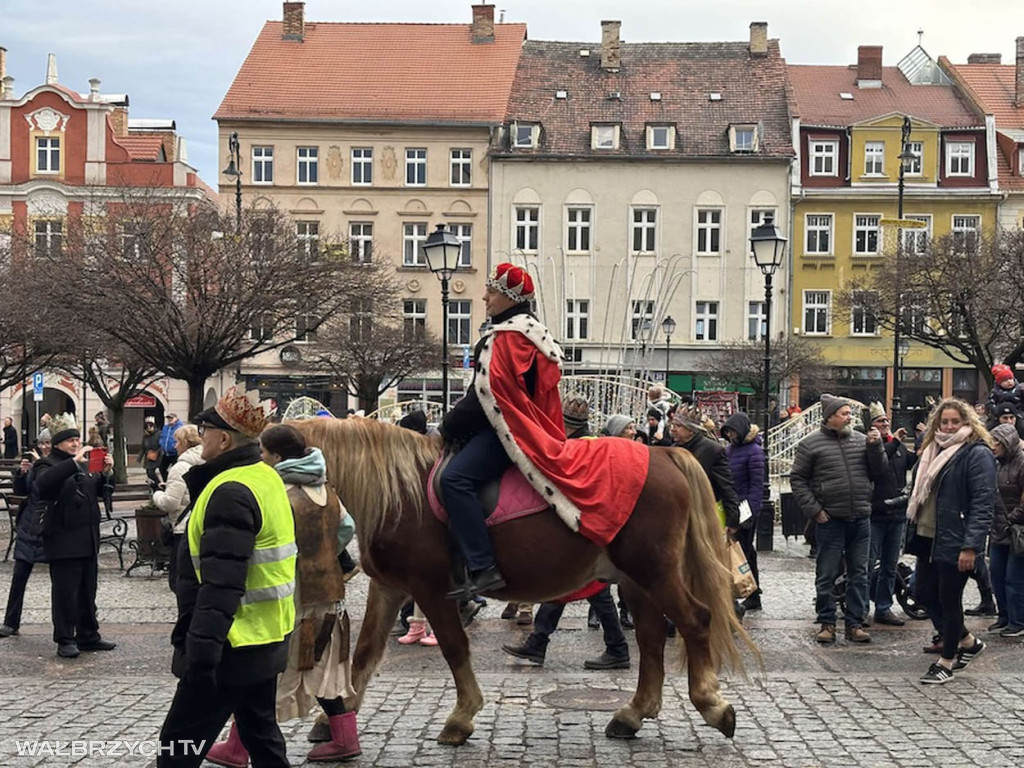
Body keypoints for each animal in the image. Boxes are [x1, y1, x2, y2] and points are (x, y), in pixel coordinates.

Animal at [292, 417, 757, 749]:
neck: (399, 494)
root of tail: (663, 455)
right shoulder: (389, 587)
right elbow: (366, 652)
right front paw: (334, 716)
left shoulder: (430, 589)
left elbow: (454, 648)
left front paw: (462, 716)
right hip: (635, 580)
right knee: (651, 637)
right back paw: (632, 713)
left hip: (654, 572)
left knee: (696, 620)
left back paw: (712, 705)